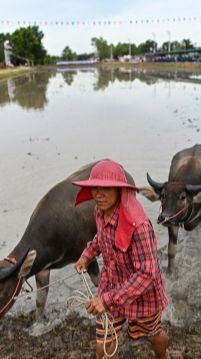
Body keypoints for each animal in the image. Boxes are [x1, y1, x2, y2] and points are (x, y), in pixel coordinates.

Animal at [0, 160, 135, 320]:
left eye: (3, 292)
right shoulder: (42, 268)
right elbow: (40, 300)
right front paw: (38, 323)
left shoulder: (86, 257)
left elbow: (97, 283)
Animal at [139, 145, 201, 274]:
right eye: (163, 195)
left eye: (183, 197)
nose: (164, 217)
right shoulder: (173, 224)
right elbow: (171, 250)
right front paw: (170, 271)